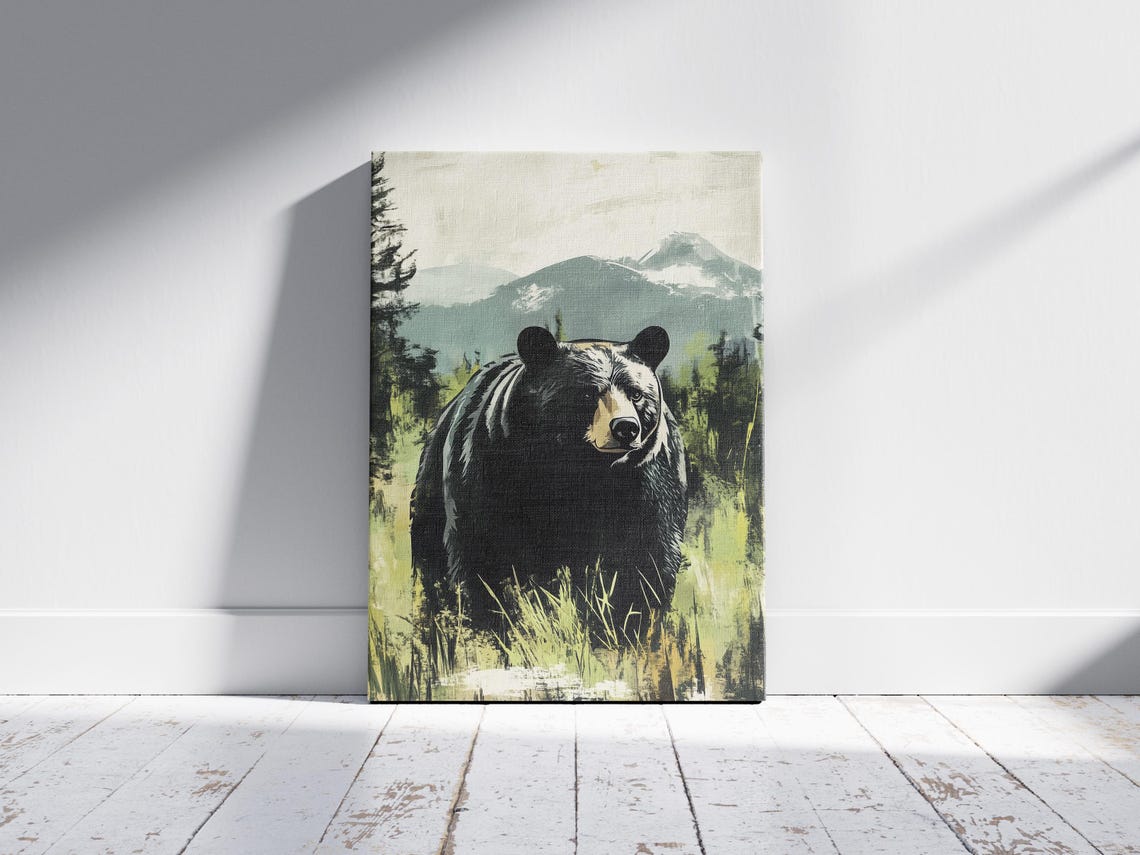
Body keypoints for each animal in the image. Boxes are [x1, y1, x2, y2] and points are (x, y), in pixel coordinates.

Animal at [410, 325, 688, 640]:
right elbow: (480, 552)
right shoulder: (489, 468)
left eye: (637, 393)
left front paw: (625, 629)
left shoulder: (649, 477)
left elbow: (647, 557)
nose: (625, 427)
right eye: (588, 392)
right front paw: (490, 626)